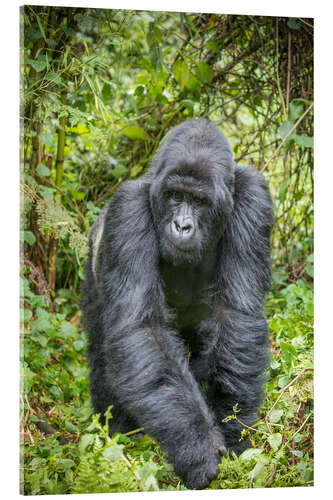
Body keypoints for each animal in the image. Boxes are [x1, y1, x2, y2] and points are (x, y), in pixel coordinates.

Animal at [81, 119, 272, 490]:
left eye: (198, 201)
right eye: (174, 196)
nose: (182, 225)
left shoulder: (254, 199)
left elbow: (236, 315)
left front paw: (233, 430)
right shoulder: (128, 210)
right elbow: (143, 330)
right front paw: (197, 451)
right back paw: (118, 430)